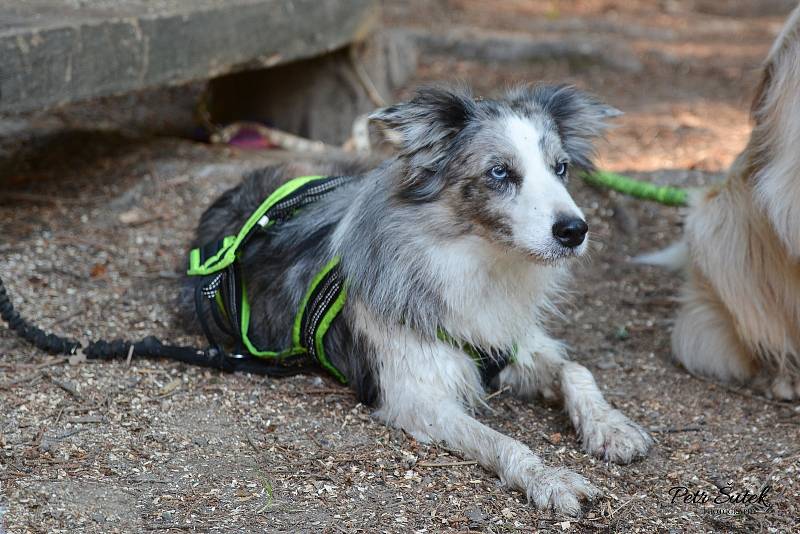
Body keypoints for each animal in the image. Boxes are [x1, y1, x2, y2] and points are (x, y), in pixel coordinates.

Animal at [191, 86, 652, 516]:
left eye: (561, 168)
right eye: (499, 172)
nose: (575, 231)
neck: (479, 263)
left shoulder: (510, 342)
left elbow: (575, 370)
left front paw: (612, 427)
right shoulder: (417, 397)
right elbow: (500, 440)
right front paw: (549, 479)